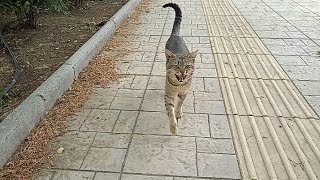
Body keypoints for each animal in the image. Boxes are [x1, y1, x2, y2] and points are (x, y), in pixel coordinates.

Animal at [162, 2, 198, 135]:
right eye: (177, 66)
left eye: (187, 66)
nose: (183, 72)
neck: (179, 86)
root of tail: (175, 35)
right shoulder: (168, 96)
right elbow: (170, 111)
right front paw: (173, 127)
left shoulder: (184, 92)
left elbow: (180, 103)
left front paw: (178, 111)